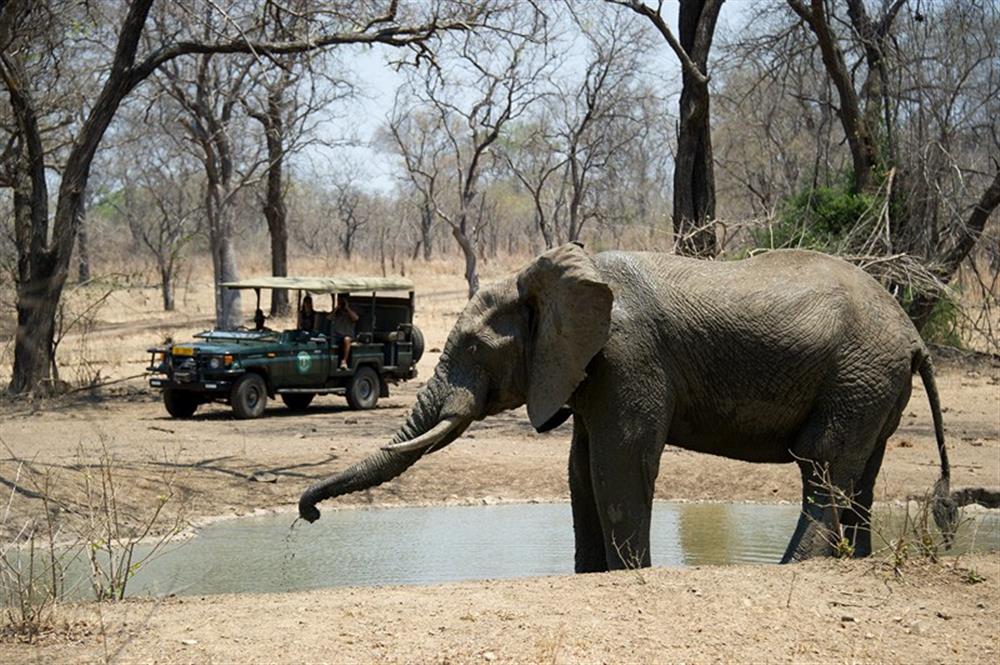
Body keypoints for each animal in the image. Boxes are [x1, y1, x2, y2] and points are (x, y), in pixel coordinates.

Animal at [298, 243, 952, 572]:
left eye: (474, 349)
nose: (308, 514)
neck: (552, 280)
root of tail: (910, 332)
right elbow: (581, 470)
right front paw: (590, 576)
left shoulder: (629, 354)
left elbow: (619, 463)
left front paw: (627, 575)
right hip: (873, 383)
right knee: (860, 475)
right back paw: (853, 564)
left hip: (858, 373)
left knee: (823, 466)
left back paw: (794, 569)